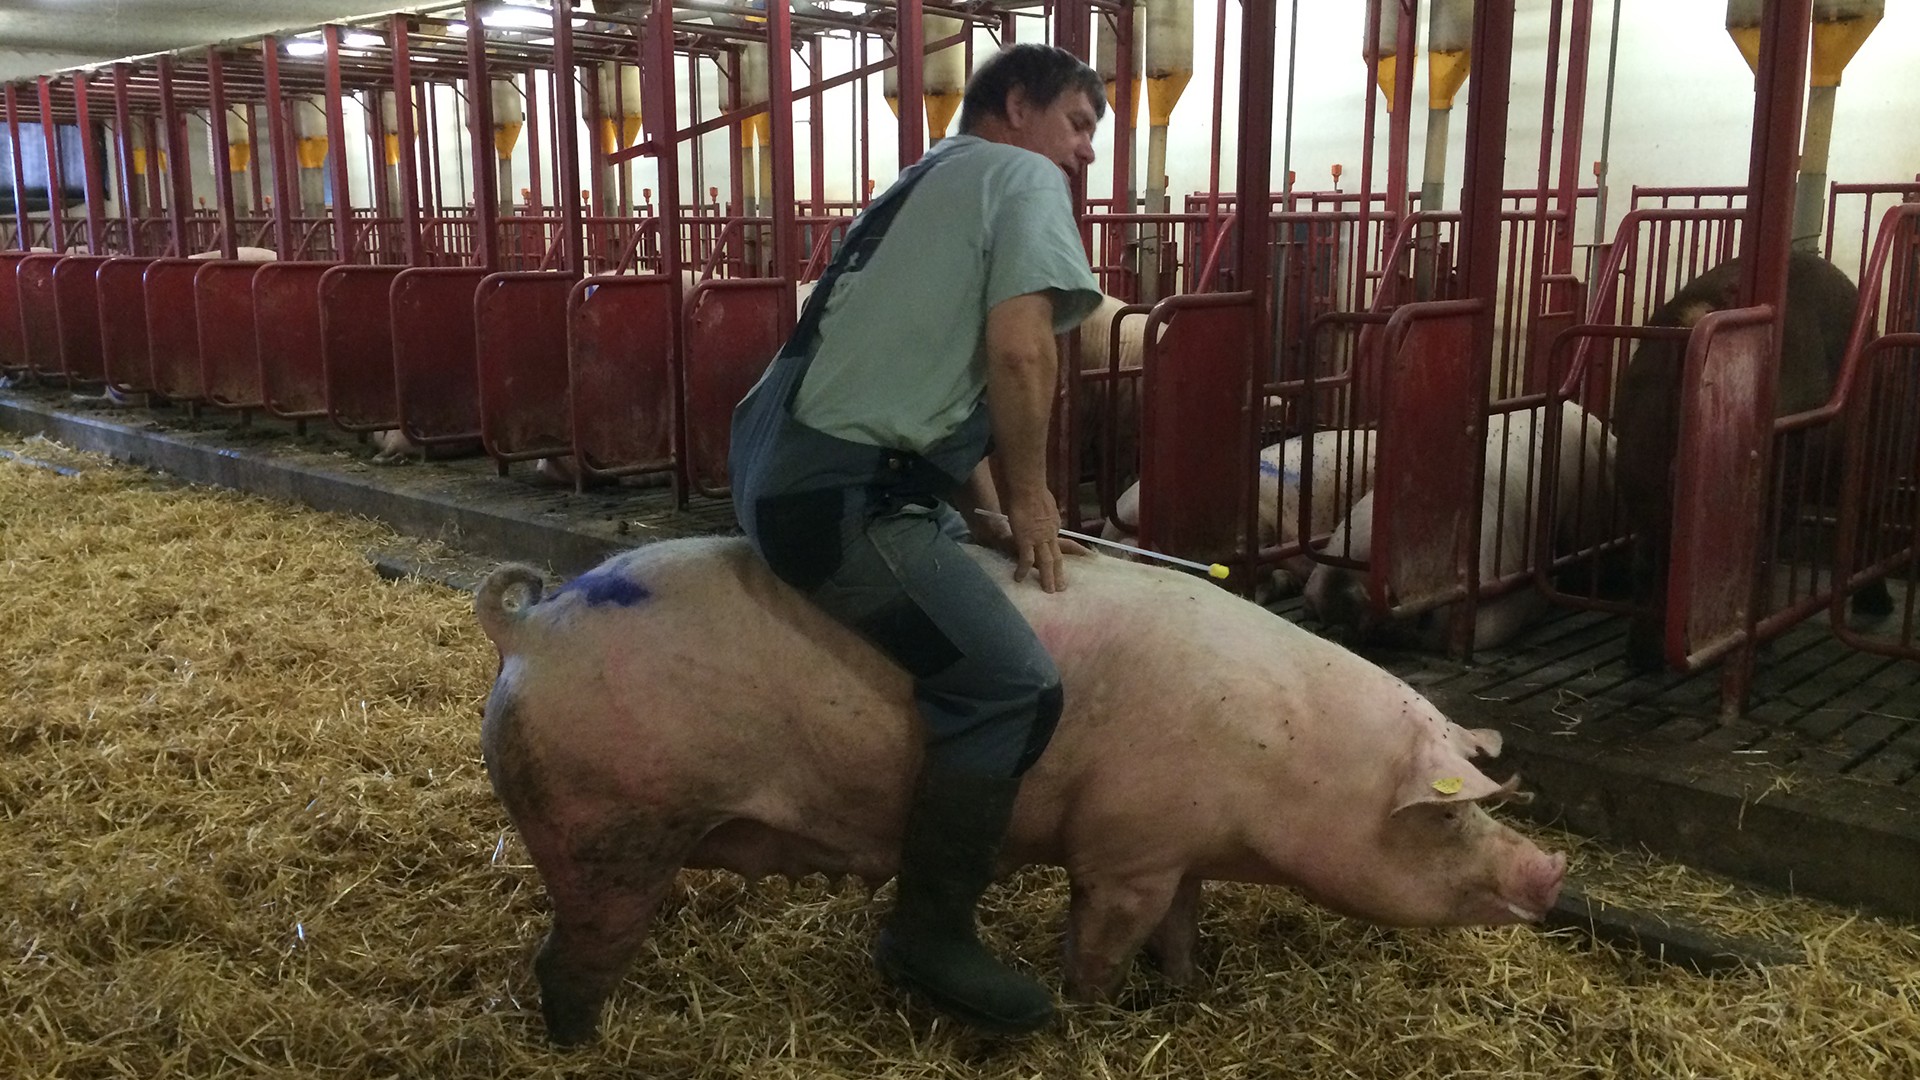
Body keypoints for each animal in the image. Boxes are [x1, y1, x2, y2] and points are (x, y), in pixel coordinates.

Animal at [472, 538, 1566, 1045]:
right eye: (1450, 814)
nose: (1552, 871)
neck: (1286, 758)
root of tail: (527, 629)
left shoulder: (1176, 847)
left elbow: (1183, 923)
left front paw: (1187, 989)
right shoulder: (1121, 851)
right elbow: (1104, 938)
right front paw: (1085, 1012)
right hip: (609, 826)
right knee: (568, 956)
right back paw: (582, 1042)